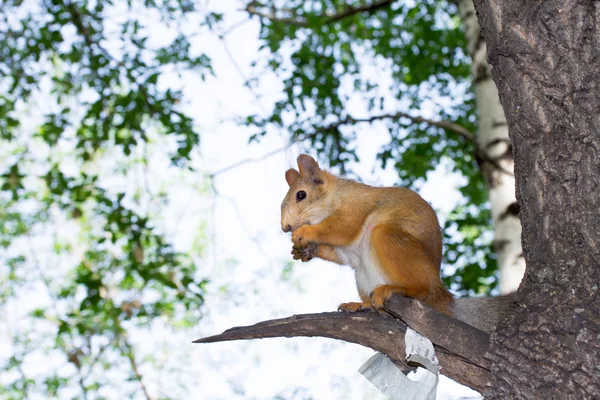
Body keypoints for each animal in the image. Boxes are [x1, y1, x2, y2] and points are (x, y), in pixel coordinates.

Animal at [280, 155, 510, 332]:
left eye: (301, 195)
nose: (285, 227)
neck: (335, 197)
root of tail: (441, 295)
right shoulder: (347, 253)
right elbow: (338, 255)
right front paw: (304, 251)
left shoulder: (355, 209)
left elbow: (341, 228)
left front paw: (306, 233)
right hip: (362, 275)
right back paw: (361, 304)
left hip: (388, 239)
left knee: (422, 290)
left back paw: (396, 290)